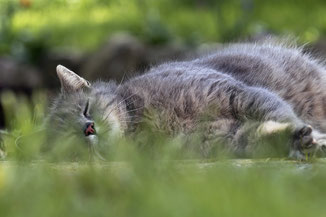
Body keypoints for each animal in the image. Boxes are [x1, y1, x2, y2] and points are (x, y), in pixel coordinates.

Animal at [46, 40, 326, 159]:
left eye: (86, 109)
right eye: (71, 140)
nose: (89, 127)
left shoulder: (233, 93)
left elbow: (278, 112)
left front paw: (313, 137)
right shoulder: (223, 137)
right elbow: (262, 135)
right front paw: (298, 141)